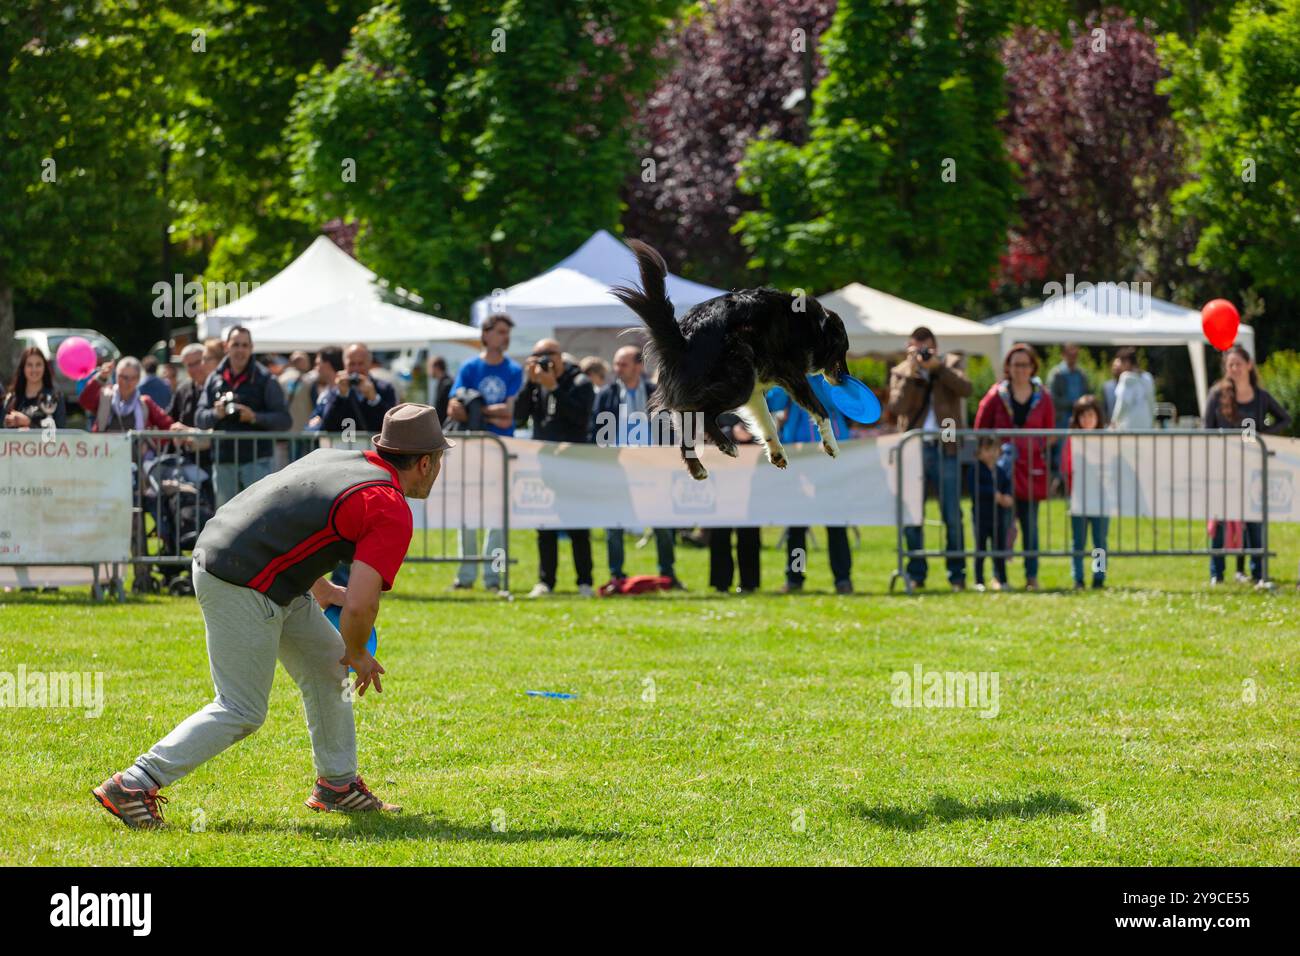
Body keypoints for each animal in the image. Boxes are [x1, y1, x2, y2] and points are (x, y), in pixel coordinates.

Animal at [611, 239, 852, 478]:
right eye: (844, 350)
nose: (845, 379)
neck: (814, 327)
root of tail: (684, 338)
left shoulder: (756, 391)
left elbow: (767, 421)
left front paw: (776, 452)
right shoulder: (792, 376)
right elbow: (821, 411)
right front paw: (832, 445)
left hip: (731, 386)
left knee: (686, 432)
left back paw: (697, 469)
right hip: (738, 383)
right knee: (705, 414)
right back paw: (726, 445)